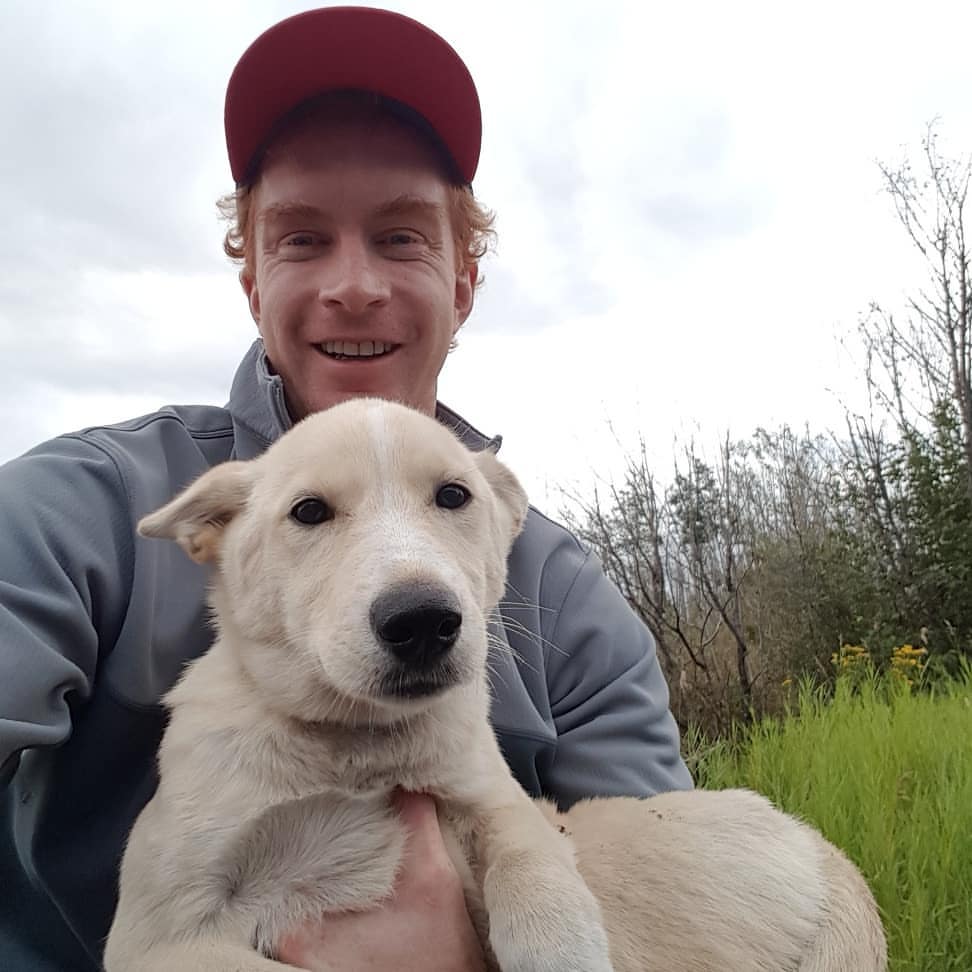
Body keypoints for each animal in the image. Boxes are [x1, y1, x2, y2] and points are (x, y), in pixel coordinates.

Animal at [106, 396, 888, 972]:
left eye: (453, 495)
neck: (356, 750)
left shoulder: (499, 807)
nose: (422, 621)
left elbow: (538, 885)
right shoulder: (159, 938)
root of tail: (833, 860)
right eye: (308, 511)